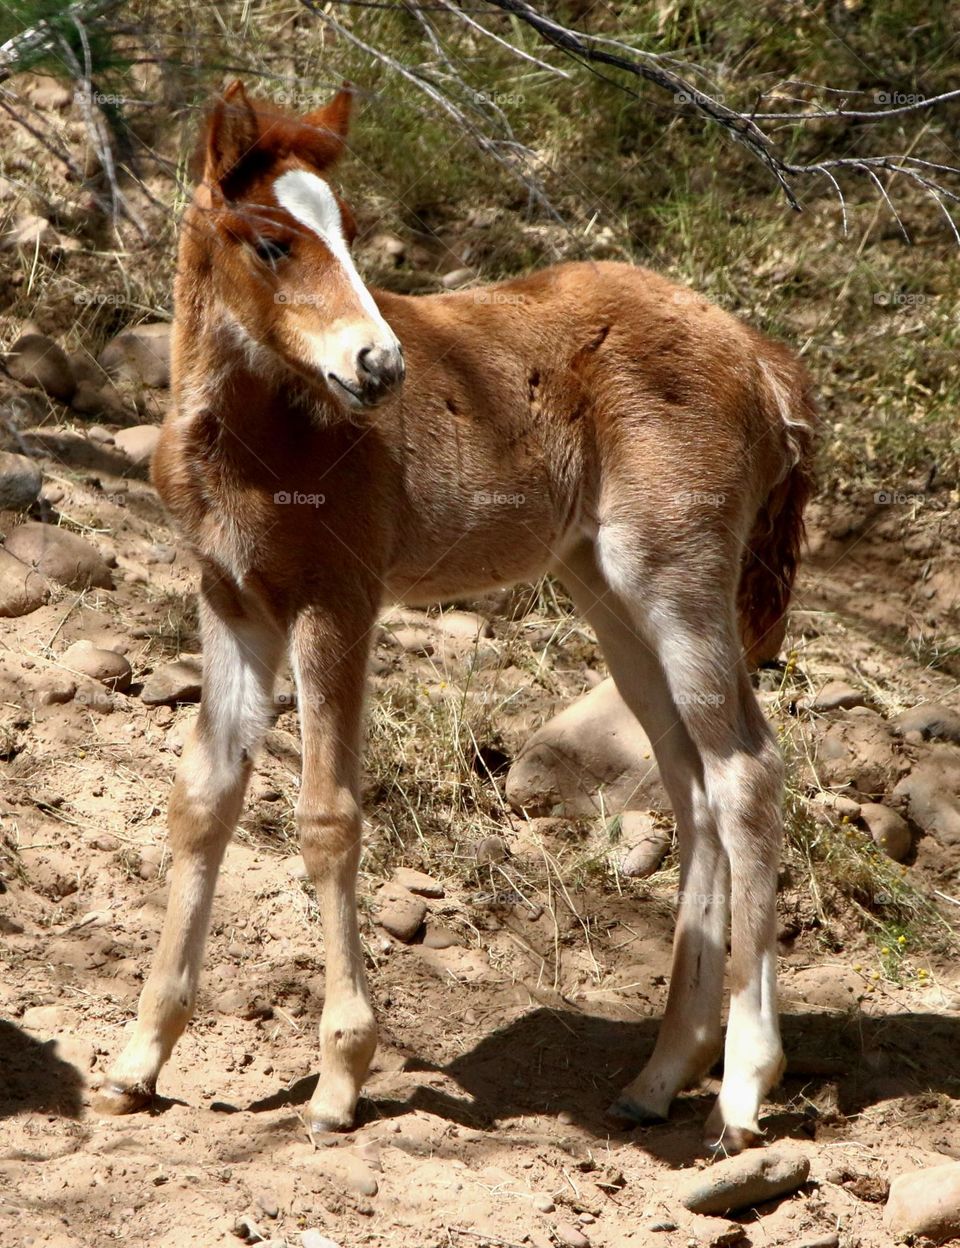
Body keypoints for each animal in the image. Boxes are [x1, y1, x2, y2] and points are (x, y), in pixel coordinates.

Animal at [94, 82, 816, 1153]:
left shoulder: (337, 599)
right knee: (691, 791)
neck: (262, 434)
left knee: (746, 772)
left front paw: (340, 1078)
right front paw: (139, 1061)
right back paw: (659, 1075)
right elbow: (202, 801)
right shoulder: (230, 599)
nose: (379, 364)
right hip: (606, 591)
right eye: (270, 242)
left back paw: (741, 1088)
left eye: (350, 230)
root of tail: (761, 357)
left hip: (676, 579)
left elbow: (327, 817)